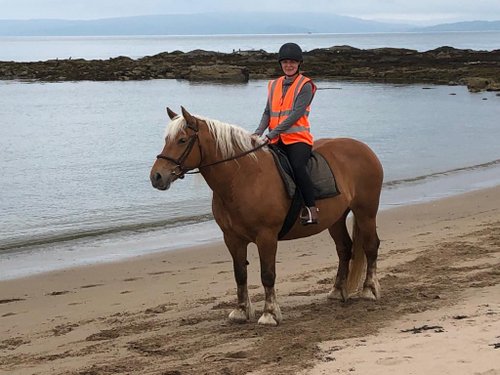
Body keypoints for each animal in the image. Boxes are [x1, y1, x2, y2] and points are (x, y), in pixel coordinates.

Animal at [148, 107, 382, 328]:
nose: (156, 176)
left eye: (182, 140)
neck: (243, 178)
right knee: (344, 249)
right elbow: (240, 274)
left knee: (371, 246)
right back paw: (337, 291)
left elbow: (267, 274)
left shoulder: (266, 237)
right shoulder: (232, 238)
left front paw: (269, 314)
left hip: (366, 212)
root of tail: (363, 148)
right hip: (335, 219)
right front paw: (241, 311)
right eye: (167, 140)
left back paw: (369, 289)